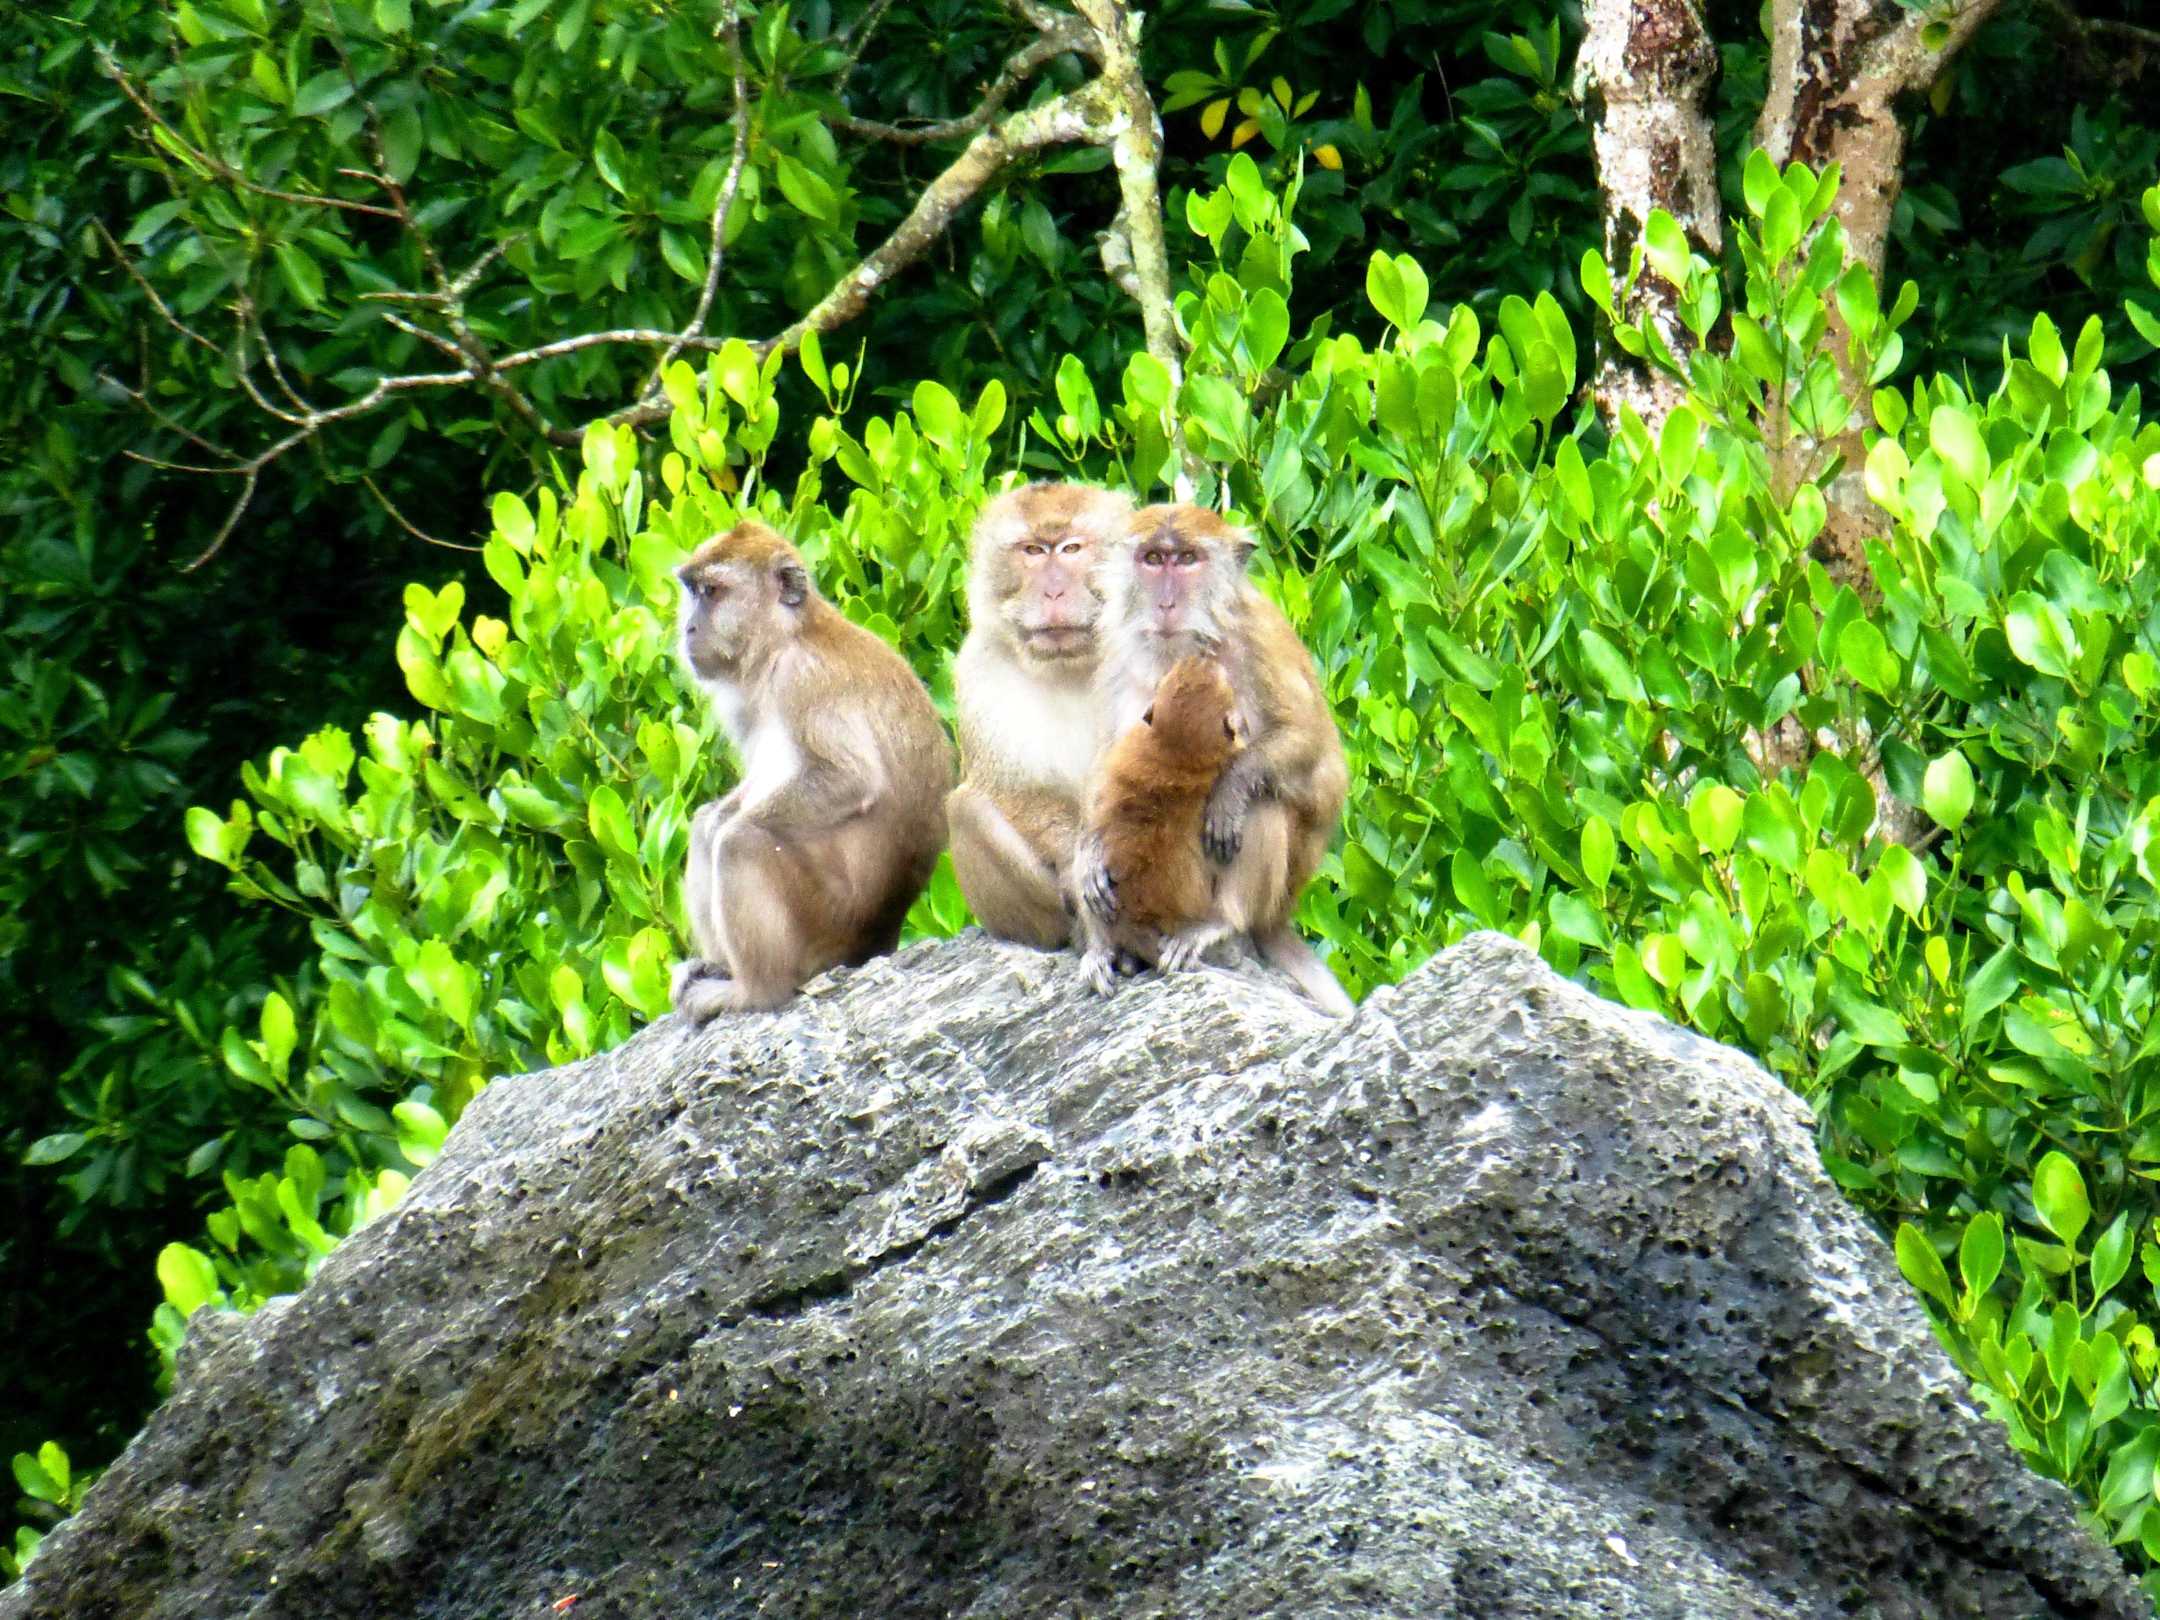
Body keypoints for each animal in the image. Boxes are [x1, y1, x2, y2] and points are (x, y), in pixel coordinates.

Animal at [670, 519, 954, 1019]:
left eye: (713, 592)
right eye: (693, 591)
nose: (689, 627)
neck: (783, 640)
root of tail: (877, 940)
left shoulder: (805, 677)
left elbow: (850, 780)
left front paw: (733, 823)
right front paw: (720, 812)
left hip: (825, 920)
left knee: (741, 842)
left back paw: (753, 990)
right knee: (709, 826)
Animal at [945, 481, 1136, 949]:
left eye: (1070, 549)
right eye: (1032, 550)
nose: (1053, 592)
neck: (1069, 666)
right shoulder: (979, 668)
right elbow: (1014, 787)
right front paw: (1079, 869)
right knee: (964, 808)